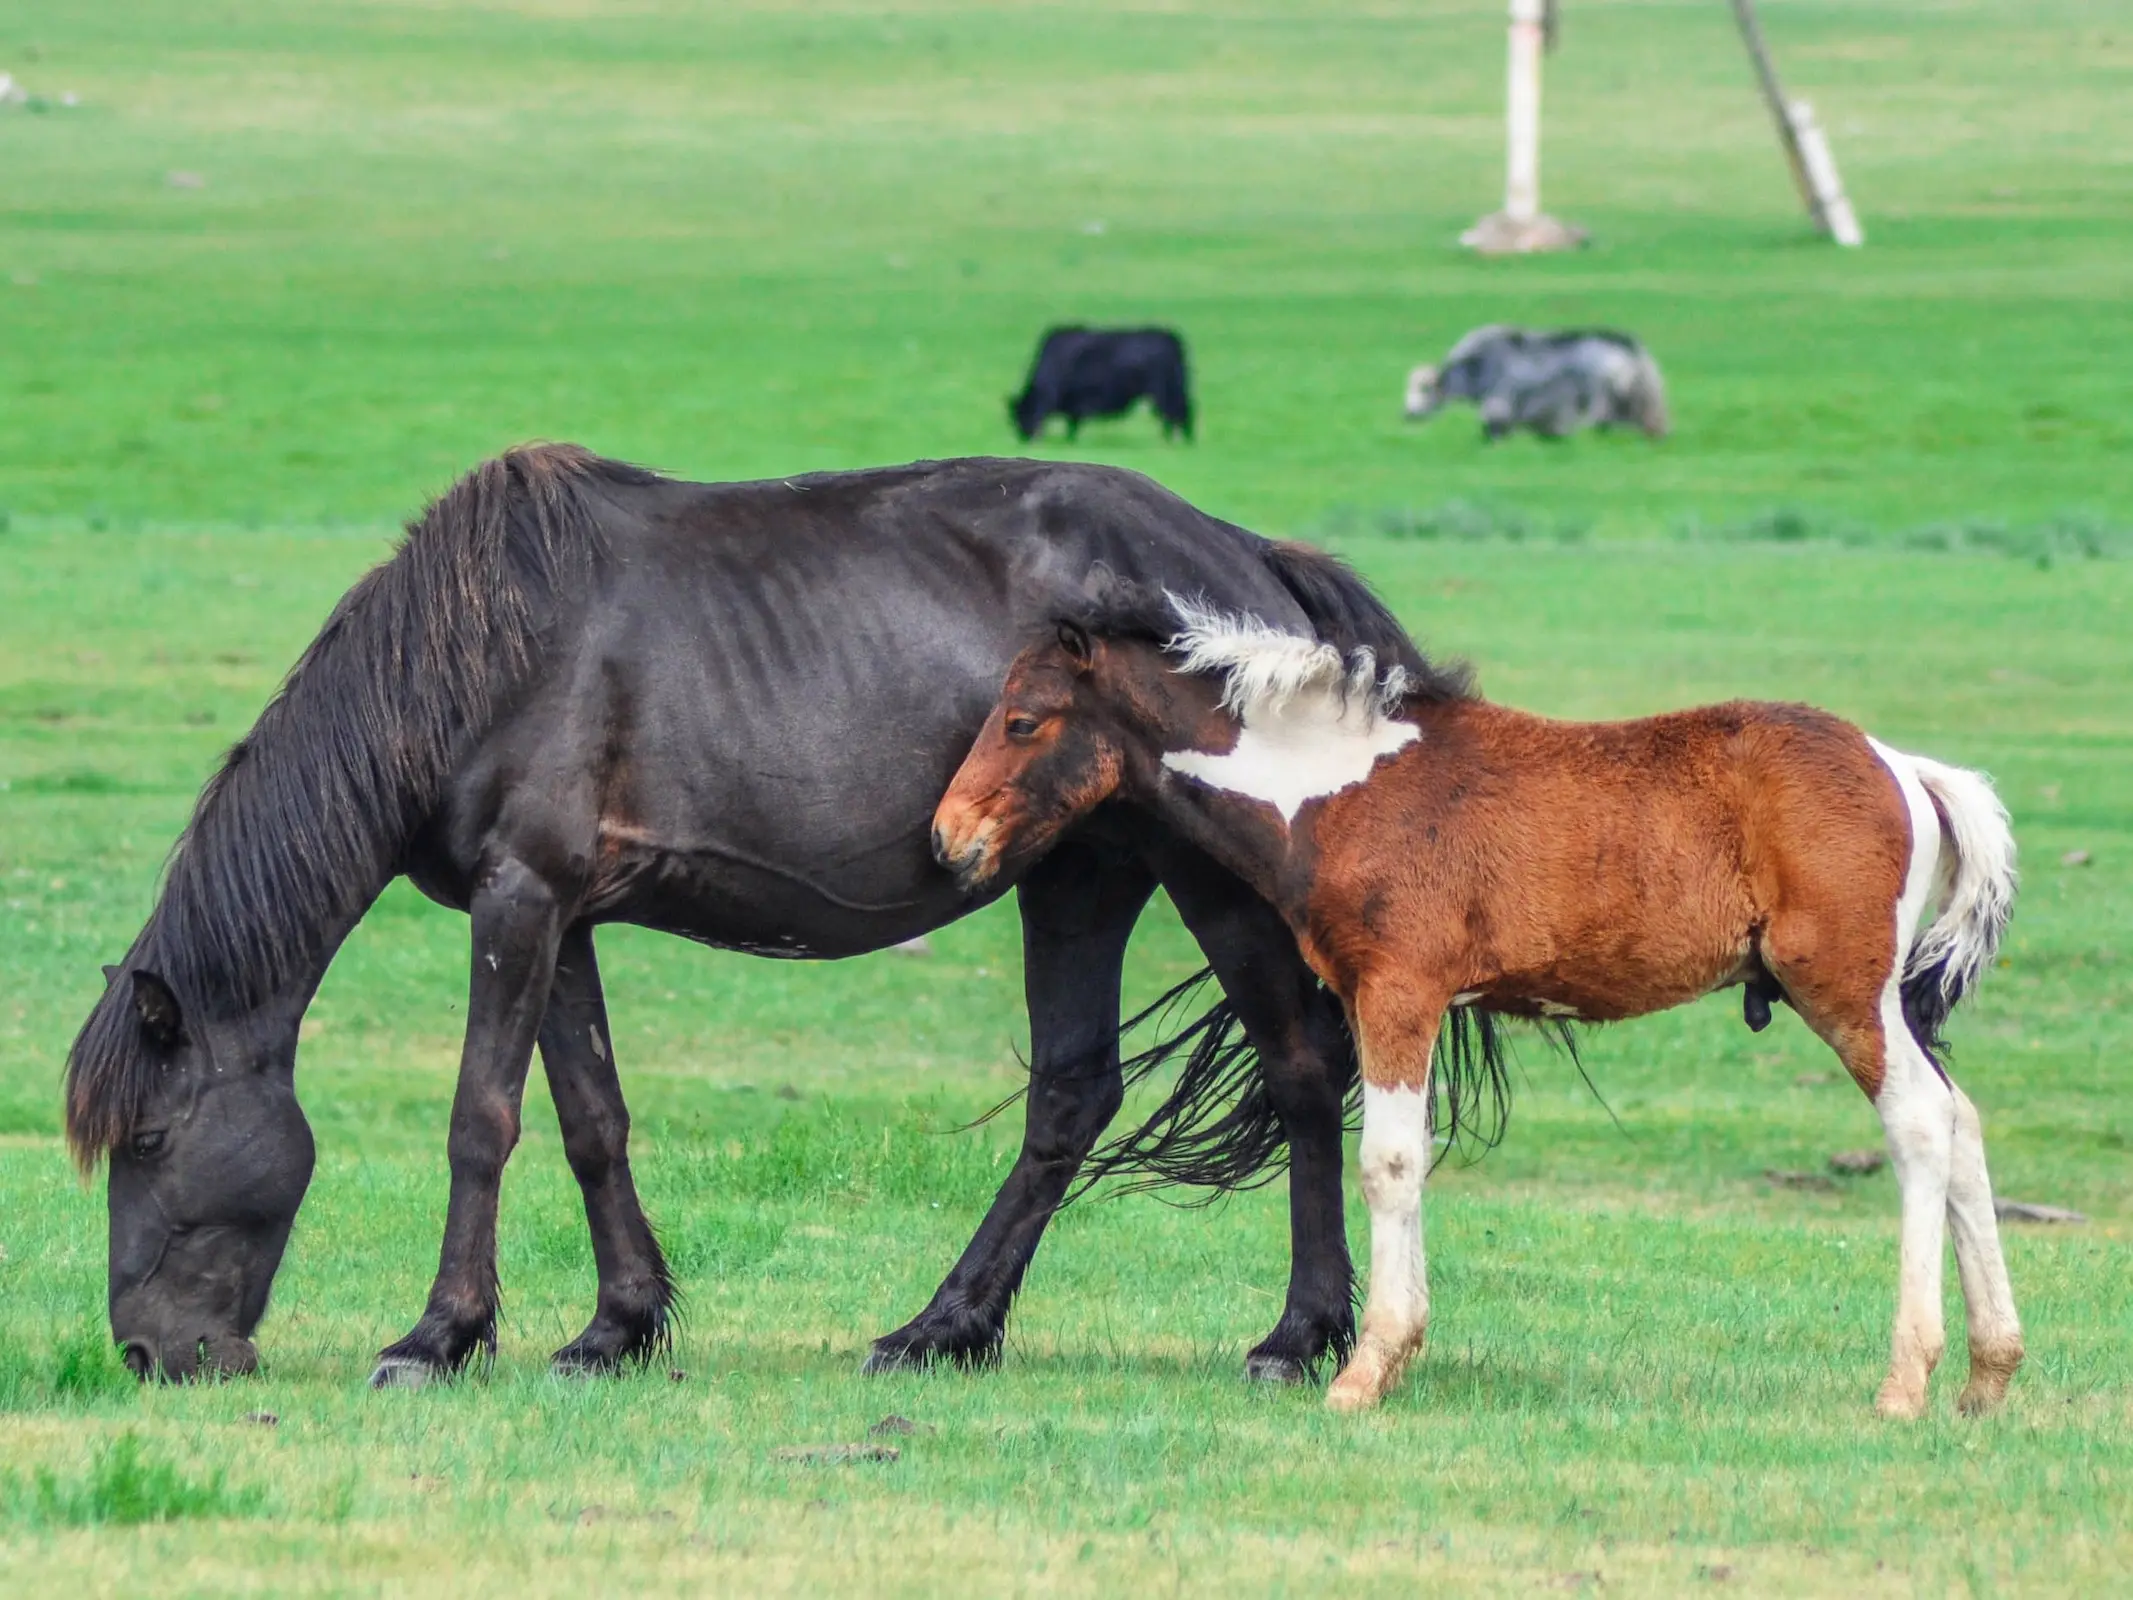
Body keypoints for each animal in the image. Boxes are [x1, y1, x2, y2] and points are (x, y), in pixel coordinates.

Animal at [62, 448, 1416, 1390]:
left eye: (148, 1140)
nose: (145, 1354)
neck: (477, 656)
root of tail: (1251, 558)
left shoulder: (519, 897)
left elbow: (481, 1121)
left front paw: (440, 1334)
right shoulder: (560, 915)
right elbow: (591, 1120)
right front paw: (615, 1327)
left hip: (1207, 880)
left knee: (1301, 1072)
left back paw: (1297, 1333)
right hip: (1080, 876)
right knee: (1073, 1096)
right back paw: (943, 1326)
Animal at [942, 605, 2022, 1425]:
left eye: (1024, 721)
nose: (950, 836)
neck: (1337, 788)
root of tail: (1903, 765)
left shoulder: (1398, 992)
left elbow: (1387, 1164)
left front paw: (1364, 1371)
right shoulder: (1388, 1002)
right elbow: (1407, 1159)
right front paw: (1397, 1352)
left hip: (1841, 990)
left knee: (1920, 1124)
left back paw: (1906, 1381)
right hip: (1877, 1002)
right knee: (1962, 1119)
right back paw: (1988, 1374)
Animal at [1006, 326, 1194, 441]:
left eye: (1027, 410)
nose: (1027, 437)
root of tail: (1170, 337)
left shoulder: (1079, 402)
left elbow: (1073, 424)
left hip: (1163, 392)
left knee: (1173, 414)